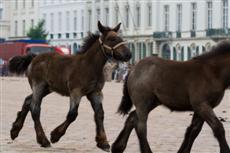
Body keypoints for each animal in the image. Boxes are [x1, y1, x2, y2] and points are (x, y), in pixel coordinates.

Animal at [9, 21, 131, 152]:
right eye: (111, 39)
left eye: (120, 38)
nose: (128, 54)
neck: (89, 65)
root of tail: (34, 58)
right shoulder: (76, 92)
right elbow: (72, 114)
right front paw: (55, 135)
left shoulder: (95, 93)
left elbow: (99, 114)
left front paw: (103, 142)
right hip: (39, 86)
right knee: (35, 109)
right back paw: (44, 140)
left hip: (48, 88)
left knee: (28, 100)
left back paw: (15, 130)